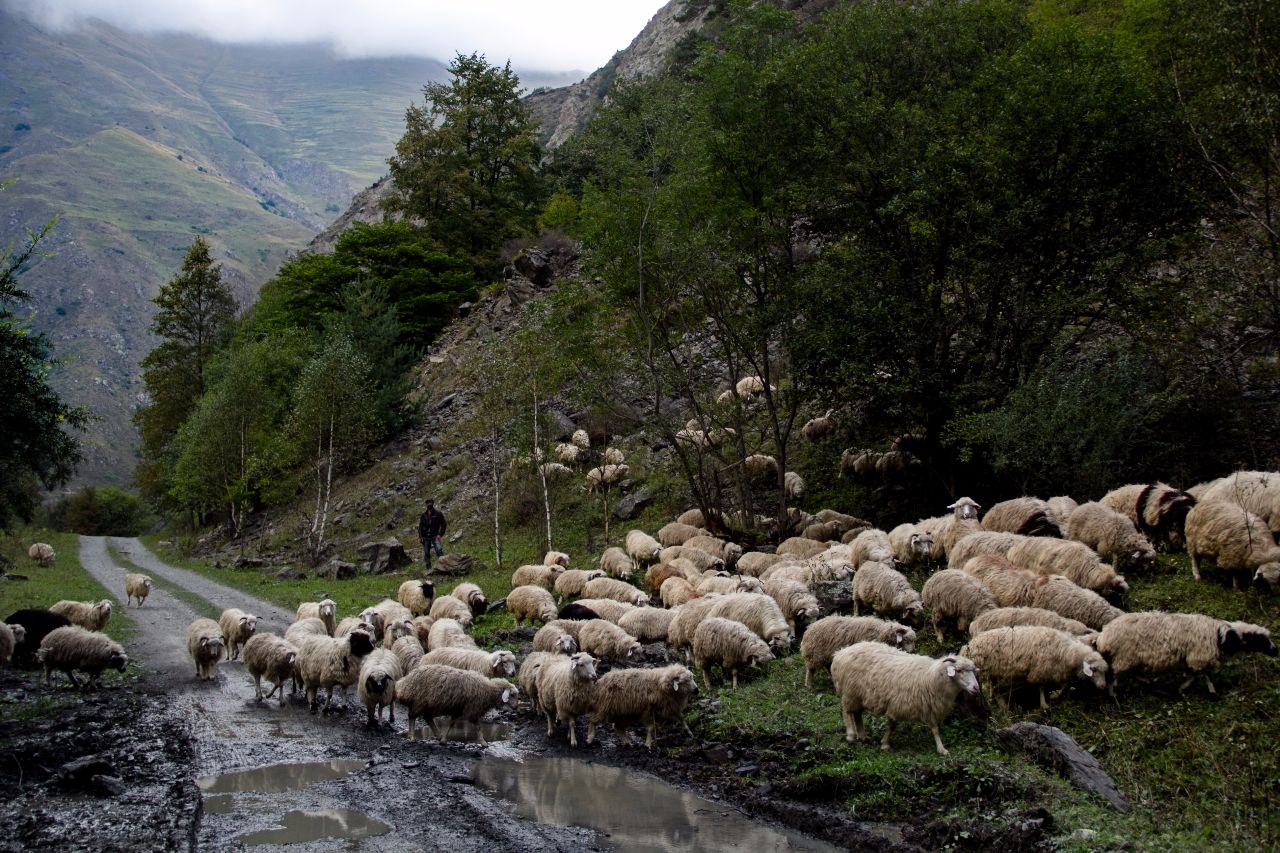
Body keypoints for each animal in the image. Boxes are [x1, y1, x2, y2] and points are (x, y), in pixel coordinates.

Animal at [829, 640, 977, 753]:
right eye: (959, 670)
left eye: (973, 671)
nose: (976, 688)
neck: (932, 675)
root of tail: (841, 652)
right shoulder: (900, 703)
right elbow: (896, 725)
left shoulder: (926, 706)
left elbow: (932, 729)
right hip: (850, 691)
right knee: (846, 711)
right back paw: (851, 735)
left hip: (858, 695)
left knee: (857, 714)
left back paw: (863, 736)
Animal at [962, 622, 1111, 706]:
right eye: (1093, 669)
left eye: (1104, 671)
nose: (1103, 686)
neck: (1067, 651)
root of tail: (968, 646)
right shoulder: (1041, 669)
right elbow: (1041, 687)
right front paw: (1044, 704)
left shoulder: (1057, 670)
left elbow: (1066, 685)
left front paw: (1056, 695)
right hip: (985, 672)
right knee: (989, 690)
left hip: (993, 673)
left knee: (995, 689)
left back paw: (1002, 705)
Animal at [1095, 607, 1244, 696]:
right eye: (1236, 639)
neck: (1216, 636)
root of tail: (1104, 635)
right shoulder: (1198, 657)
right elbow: (1203, 675)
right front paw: (1211, 690)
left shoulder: (1194, 659)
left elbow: (1197, 674)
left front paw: (1184, 688)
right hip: (1124, 657)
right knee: (1114, 674)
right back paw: (1113, 693)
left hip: (1129, 658)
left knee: (1131, 672)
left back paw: (1146, 681)